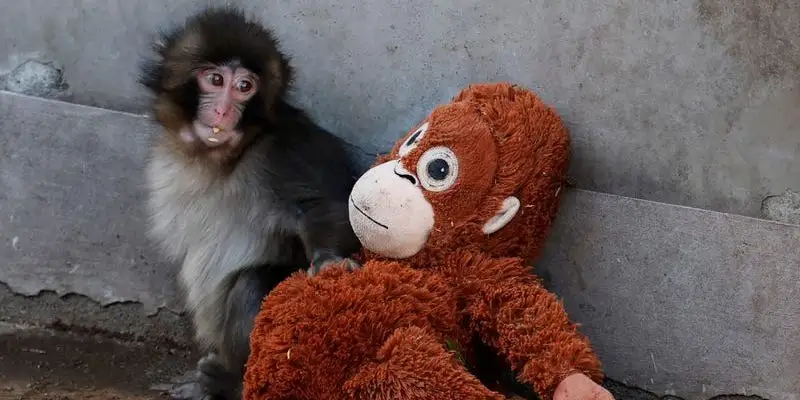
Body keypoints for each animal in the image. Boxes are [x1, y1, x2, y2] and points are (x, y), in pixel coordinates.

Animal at [138, 7, 362, 400]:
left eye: (245, 87)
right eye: (215, 80)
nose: (224, 111)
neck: (223, 158)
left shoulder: (284, 150)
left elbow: (323, 206)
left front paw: (329, 260)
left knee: (252, 284)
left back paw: (231, 382)